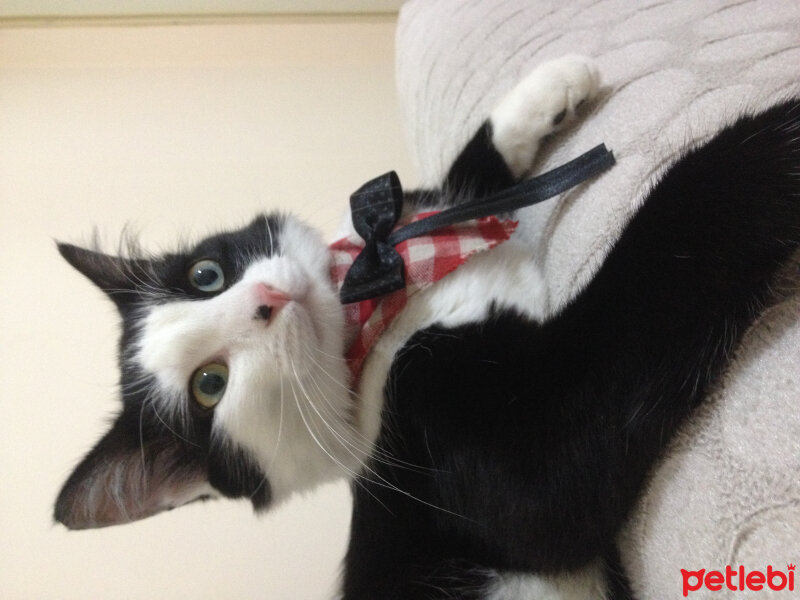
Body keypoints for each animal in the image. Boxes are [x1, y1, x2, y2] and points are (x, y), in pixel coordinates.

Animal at [53, 54, 796, 596]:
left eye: (204, 274)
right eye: (210, 385)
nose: (268, 296)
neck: (377, 303)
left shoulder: (417, 217)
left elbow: (455, 177)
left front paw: (554, 84)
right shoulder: (473, 451)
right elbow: (553, 492)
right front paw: (773, 143)